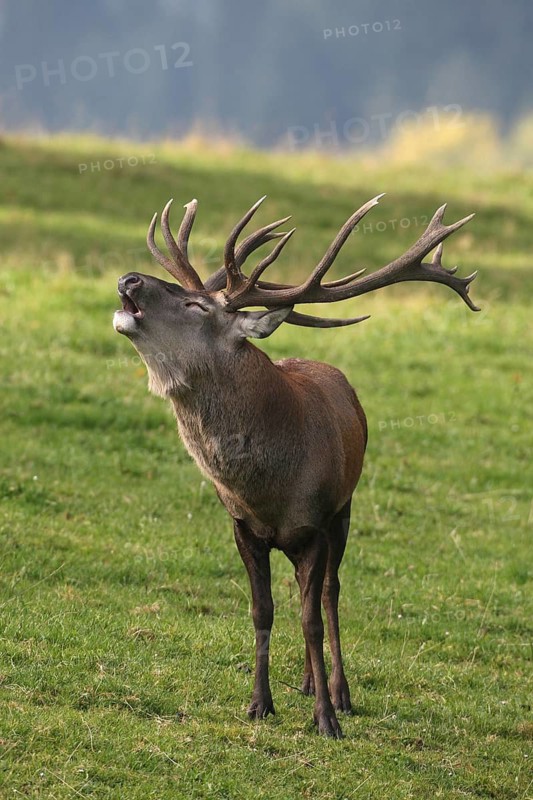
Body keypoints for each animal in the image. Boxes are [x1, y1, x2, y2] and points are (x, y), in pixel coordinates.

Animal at [113, 193, 478, 738]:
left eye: (196, 305)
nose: (130, 278)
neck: (270, 488)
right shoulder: (243, 526)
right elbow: (261, 610)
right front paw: (259, 703)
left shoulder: (317, 525)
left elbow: (311, 618)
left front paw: (326, 718)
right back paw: (308, 682)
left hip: (345, 510)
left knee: (330, 594)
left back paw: (338, 691)